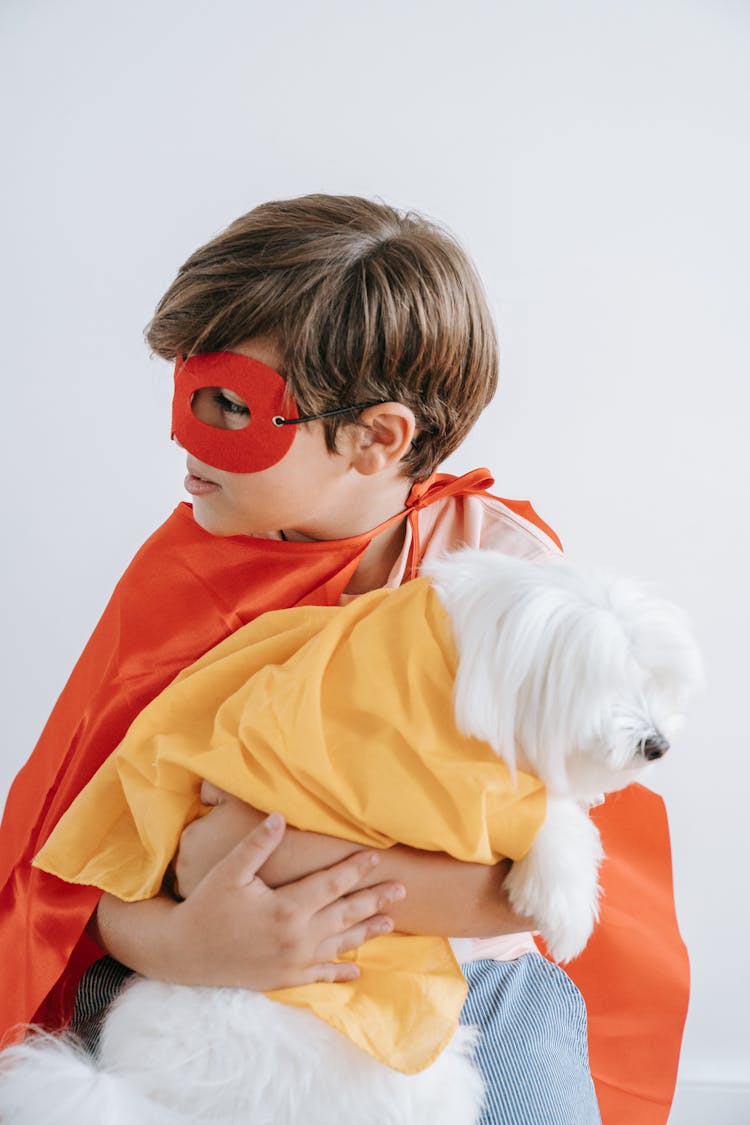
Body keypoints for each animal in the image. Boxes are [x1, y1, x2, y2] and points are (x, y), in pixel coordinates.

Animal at [0, 551, 697, 1125]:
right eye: (605, 690)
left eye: (656, 682)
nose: (659, 745)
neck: (468, 663)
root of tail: (149, 1099)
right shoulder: (435, 787)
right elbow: (547, 816)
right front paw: (569, 907)